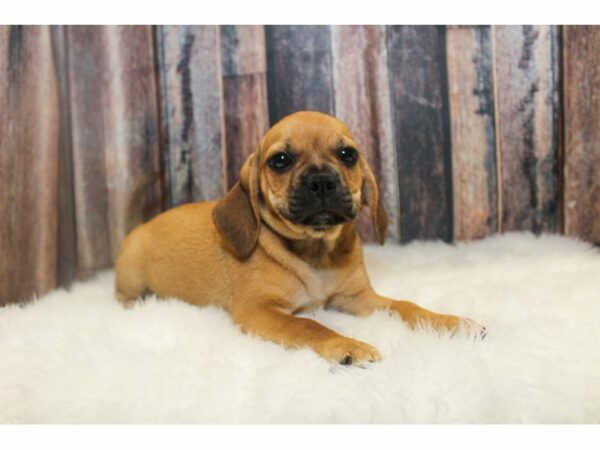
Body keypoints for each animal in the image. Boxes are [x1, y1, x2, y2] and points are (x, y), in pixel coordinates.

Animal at [116, 110, 482, 364]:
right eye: (280, 161)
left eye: (348, 155)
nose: (321, 181)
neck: (315, 249)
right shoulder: (258, 310)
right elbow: (309, 325)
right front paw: (346, 345)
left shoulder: (356, 298)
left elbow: (406, 305)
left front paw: (449, 322)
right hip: (131, 274)